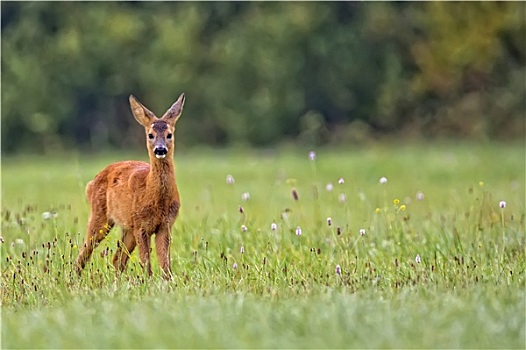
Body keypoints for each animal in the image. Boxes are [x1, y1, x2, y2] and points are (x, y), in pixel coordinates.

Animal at [76, 93, 186, 278]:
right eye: (150, 135)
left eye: (169, 134)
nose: (160, 149)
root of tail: (90, 184)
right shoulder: (141, 225)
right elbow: (146, 262)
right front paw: (148, 280)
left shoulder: (166, 225)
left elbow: (165, 263)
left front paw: (167, 281)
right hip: (100, 215)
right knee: (85, 250)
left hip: (127, 227)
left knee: (117, 258)